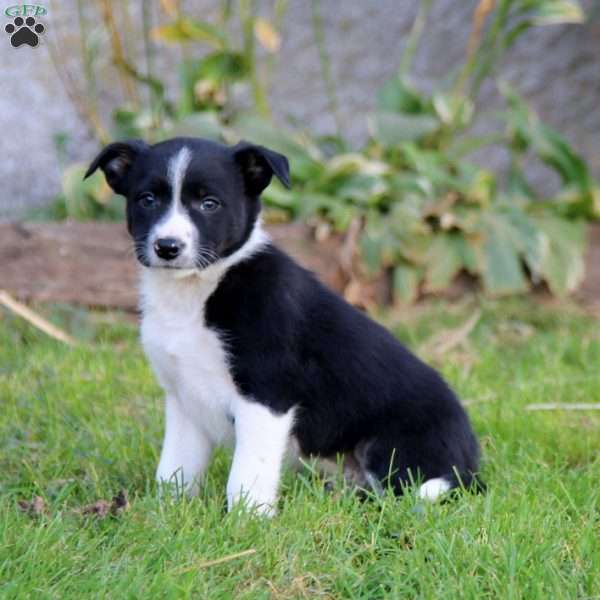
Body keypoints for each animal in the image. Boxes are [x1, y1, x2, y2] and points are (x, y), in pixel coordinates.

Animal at [85, 137, 482, 516]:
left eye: (209, 204)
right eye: (147, 200)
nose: (167, 246)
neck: (200, 290)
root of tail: (470, 466)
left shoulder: (265, 397)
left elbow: (247, 474)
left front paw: (247, 523)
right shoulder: (184, 398)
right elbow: (174, 470)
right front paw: (165, 515)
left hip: (391, 449)